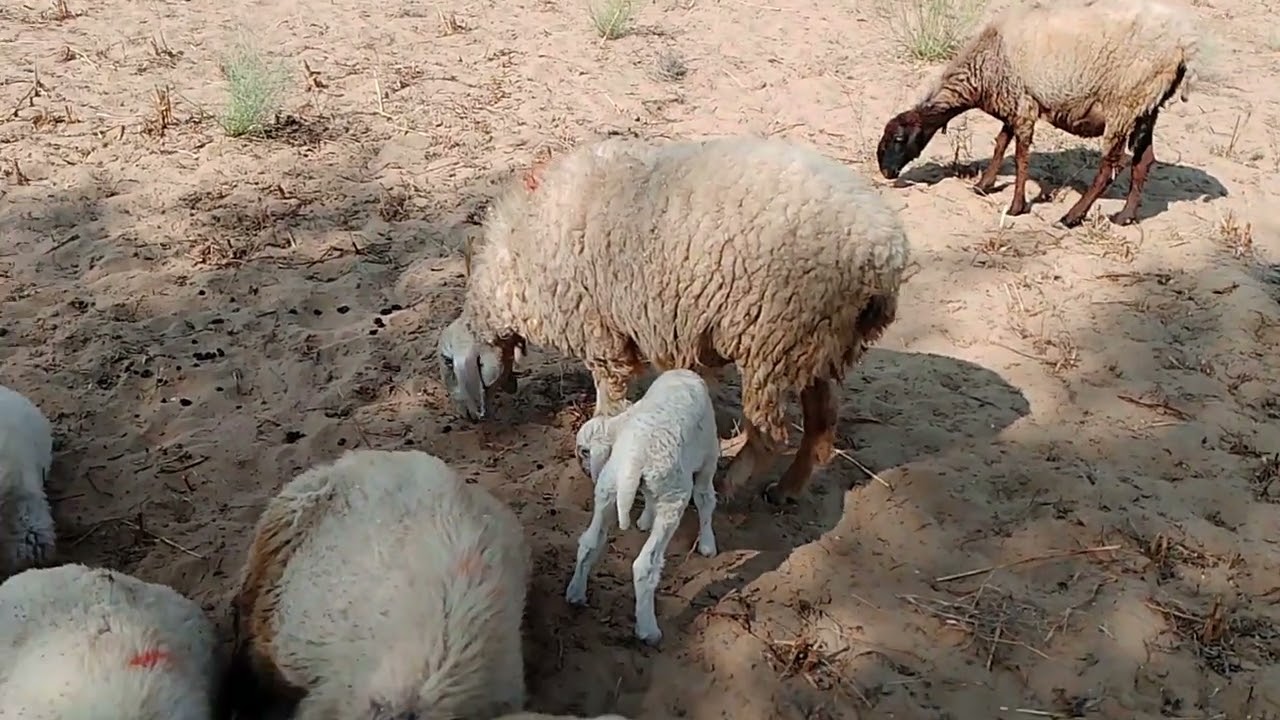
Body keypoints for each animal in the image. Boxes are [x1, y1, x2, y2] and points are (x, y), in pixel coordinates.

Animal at [437, 134, 911, 506]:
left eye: (445, 361)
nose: (465, 419)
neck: (512, 266)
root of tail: (884, 255)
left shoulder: (600, 336)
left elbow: (609, 400)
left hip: (774, 340)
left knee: (770, 433)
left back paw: (732, 483)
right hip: (816, 342)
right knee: (822, 423)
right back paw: (786, 490)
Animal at [565, 369, 720, 646]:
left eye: (583, 450)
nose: (583, 470)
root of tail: (634, 458)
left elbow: (648, 495)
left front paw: (645, 520)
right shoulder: (709, 456)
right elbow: (705, 499)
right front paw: (707, 544)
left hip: (608, 489)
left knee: (589, 543)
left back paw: (576, 593)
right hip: (674, 494)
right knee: (645, 565)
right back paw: (648, 630)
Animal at [875, 0, 1200, 229]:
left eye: (899, 139)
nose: (887, 173)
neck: (980, 71)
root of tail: (1182, 50)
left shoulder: (1022, 106)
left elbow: (1020, 157)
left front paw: (1016, 206)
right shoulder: (1012, 103)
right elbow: (1000, 144)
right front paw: (983, 185)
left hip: (1124, 104)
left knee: (1108, 167)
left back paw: (1072, 217)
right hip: (1146, 107)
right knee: (1143, 161)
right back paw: (1125, 216)